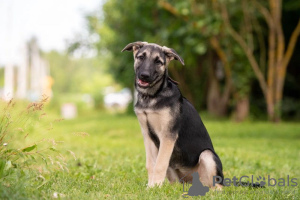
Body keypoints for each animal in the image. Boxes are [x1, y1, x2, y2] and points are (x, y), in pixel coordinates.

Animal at [121, 41, 223, 188]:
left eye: (158, 62)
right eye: (141, 57)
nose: (144, 75)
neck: (152, 96)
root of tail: (190, 182)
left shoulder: (168, 135)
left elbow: (159, 164)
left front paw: (154, 187)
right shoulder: (147, 135)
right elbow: (151, 164)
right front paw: (150, 187)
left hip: (207, 155)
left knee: (218, 185)